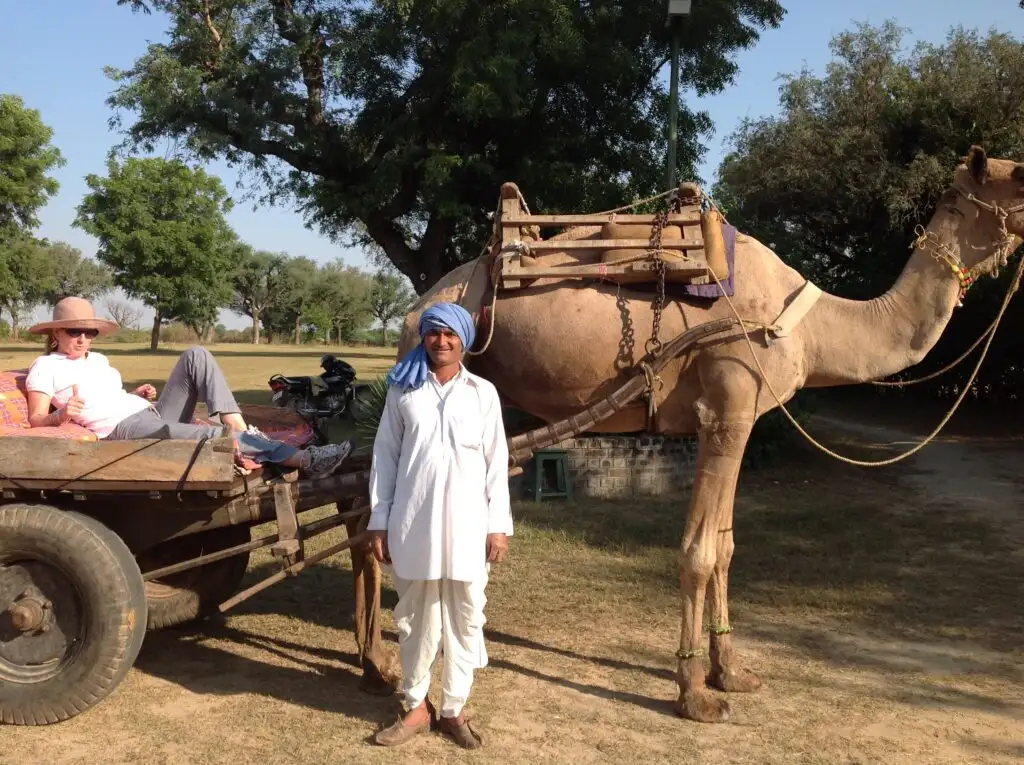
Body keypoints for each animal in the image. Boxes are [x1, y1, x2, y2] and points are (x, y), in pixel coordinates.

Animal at [394, 146, 1024, 723]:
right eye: (1017, 175)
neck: (807, 327)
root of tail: (419, 305)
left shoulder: (727, 420)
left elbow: (724, 546)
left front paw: (731, 673)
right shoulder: (728, 407)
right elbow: (698, 551)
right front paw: (694, 694)